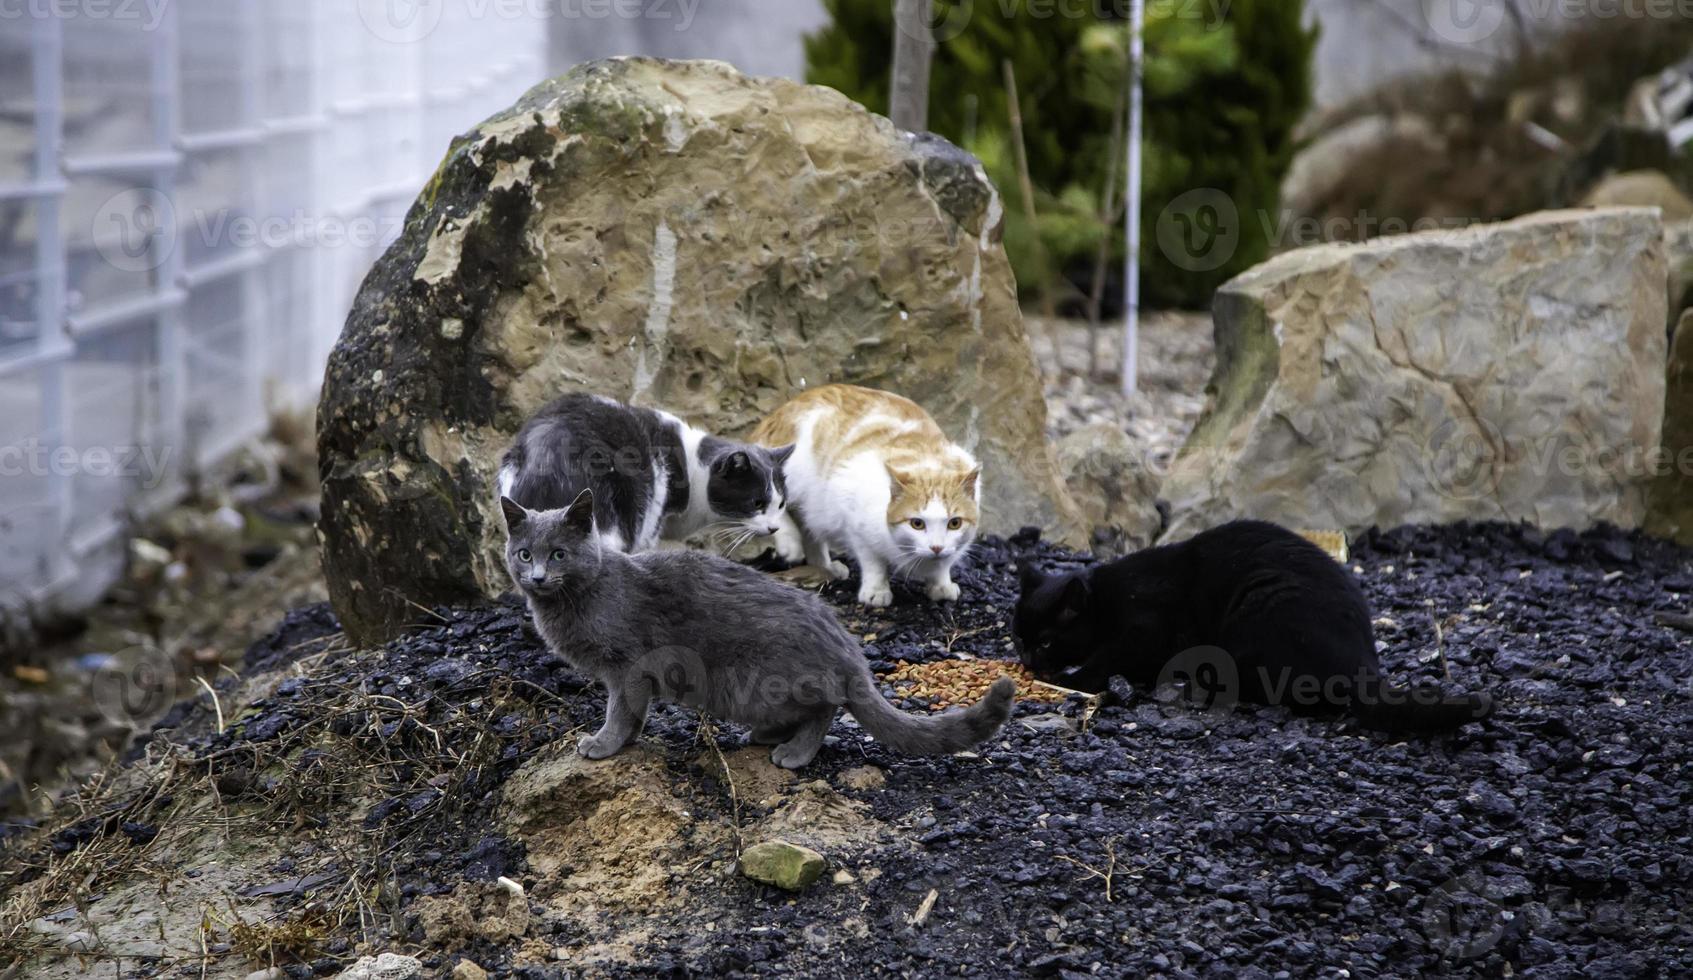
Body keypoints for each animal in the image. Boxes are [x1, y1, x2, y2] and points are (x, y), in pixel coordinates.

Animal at [494, 487, 1009, 771]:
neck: (581, 596)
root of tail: (849, 650)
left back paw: (793, 752)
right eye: (524, 554)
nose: (536, 576)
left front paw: (602, 743)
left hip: (756, 681)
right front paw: (625, 740)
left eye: (558, 554)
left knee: (825, 708)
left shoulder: (627, 667)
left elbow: (620, 710)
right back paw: (768, 737)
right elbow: (633, 714)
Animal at [755, 384, 981, 605]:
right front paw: (876, 592)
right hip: (792, 472)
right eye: (917, 523)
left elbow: (944, 564)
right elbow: (873, 563)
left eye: (954, 523)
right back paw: (790, 544)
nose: (936, 547)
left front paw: (940, 584)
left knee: (810, 528)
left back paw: (825, 566)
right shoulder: (855, 524)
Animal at [1009, 521, 1489, 737]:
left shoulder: (1145, 627)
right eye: (1019, 637)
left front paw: (1074, 678)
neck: (1108, 597)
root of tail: (1364, 664)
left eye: (1047, 641)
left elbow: (1107, 657)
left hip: (1259, 607)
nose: (1029, 661)